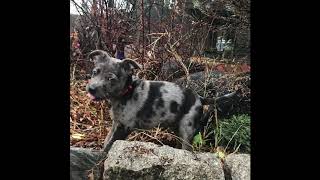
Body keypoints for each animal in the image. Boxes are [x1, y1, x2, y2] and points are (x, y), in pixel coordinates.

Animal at [86, 49, 236, 152]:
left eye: (110, 79)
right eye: (95, 72)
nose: (91, 89)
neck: (126, 92)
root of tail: (200, 98)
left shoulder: (124, 127)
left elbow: (110, 144)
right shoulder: (116, 123)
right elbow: (107, 140)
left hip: (187, 128)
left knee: (188, 148)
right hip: (177, 127)